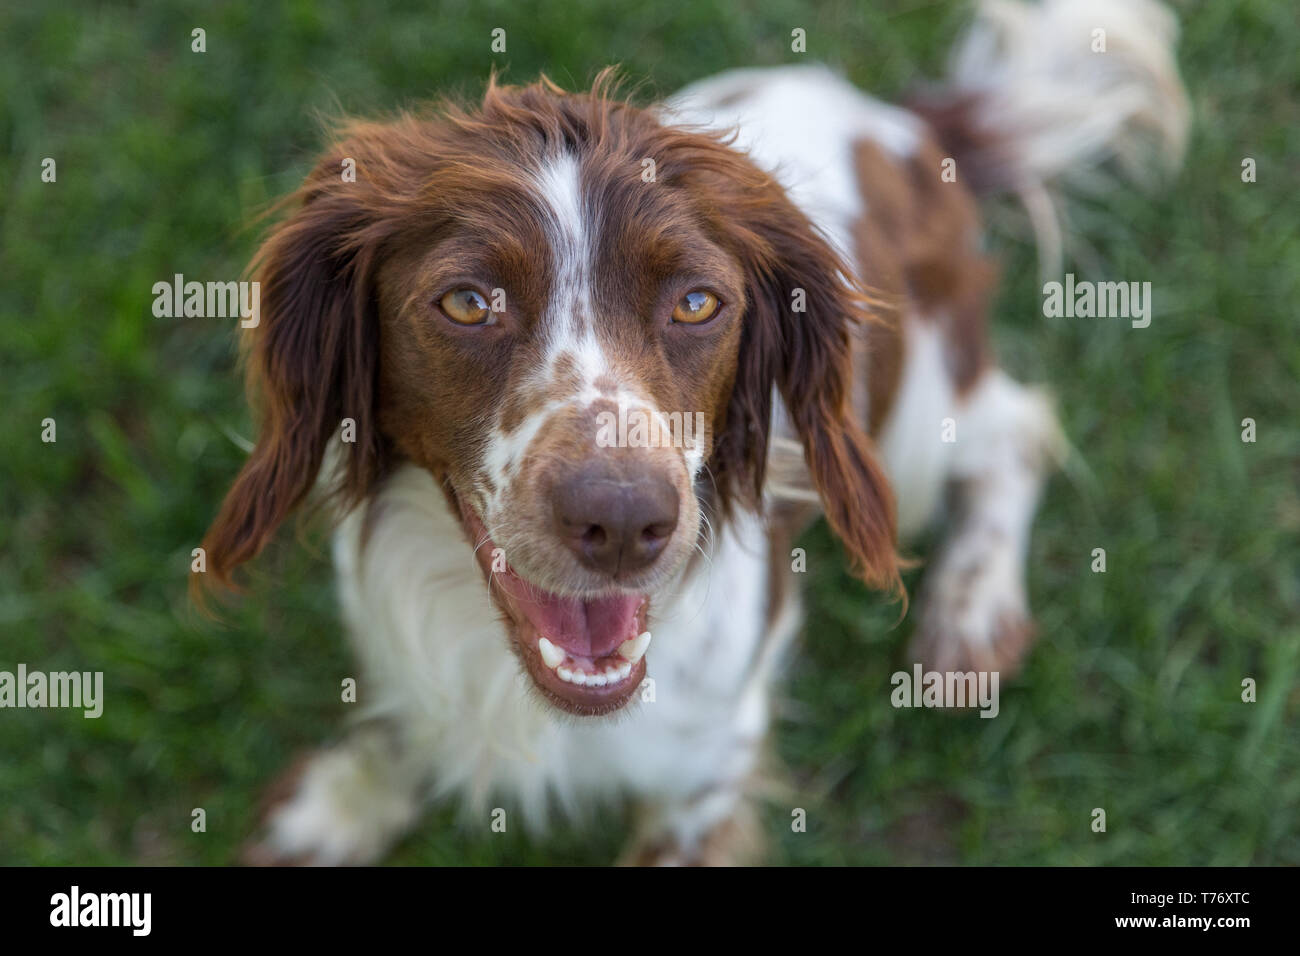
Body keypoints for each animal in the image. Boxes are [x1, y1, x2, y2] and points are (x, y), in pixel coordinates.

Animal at [200, 0, 1190, 863]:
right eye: (468, 302)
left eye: (696, 302)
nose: (623, 521)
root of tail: (904, 127)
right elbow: (410, 713)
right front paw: (341, 802)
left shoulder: (709, 762)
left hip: (908, 421)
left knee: (1016, 429)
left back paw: (972, 612)